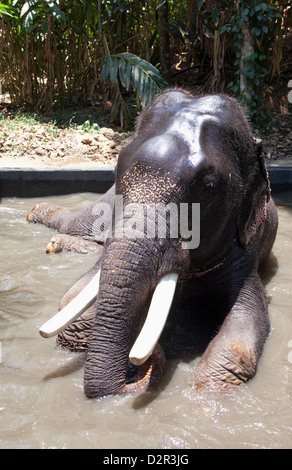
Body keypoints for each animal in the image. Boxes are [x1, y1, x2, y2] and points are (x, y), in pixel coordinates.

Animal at [27, 89, 278, 400]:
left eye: (208, 187)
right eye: (118, 168)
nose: (142, 361)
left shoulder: (243, 251)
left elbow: (245, 324)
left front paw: (203, 391)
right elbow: (74, 298)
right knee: (77, 225)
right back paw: (39, 217)